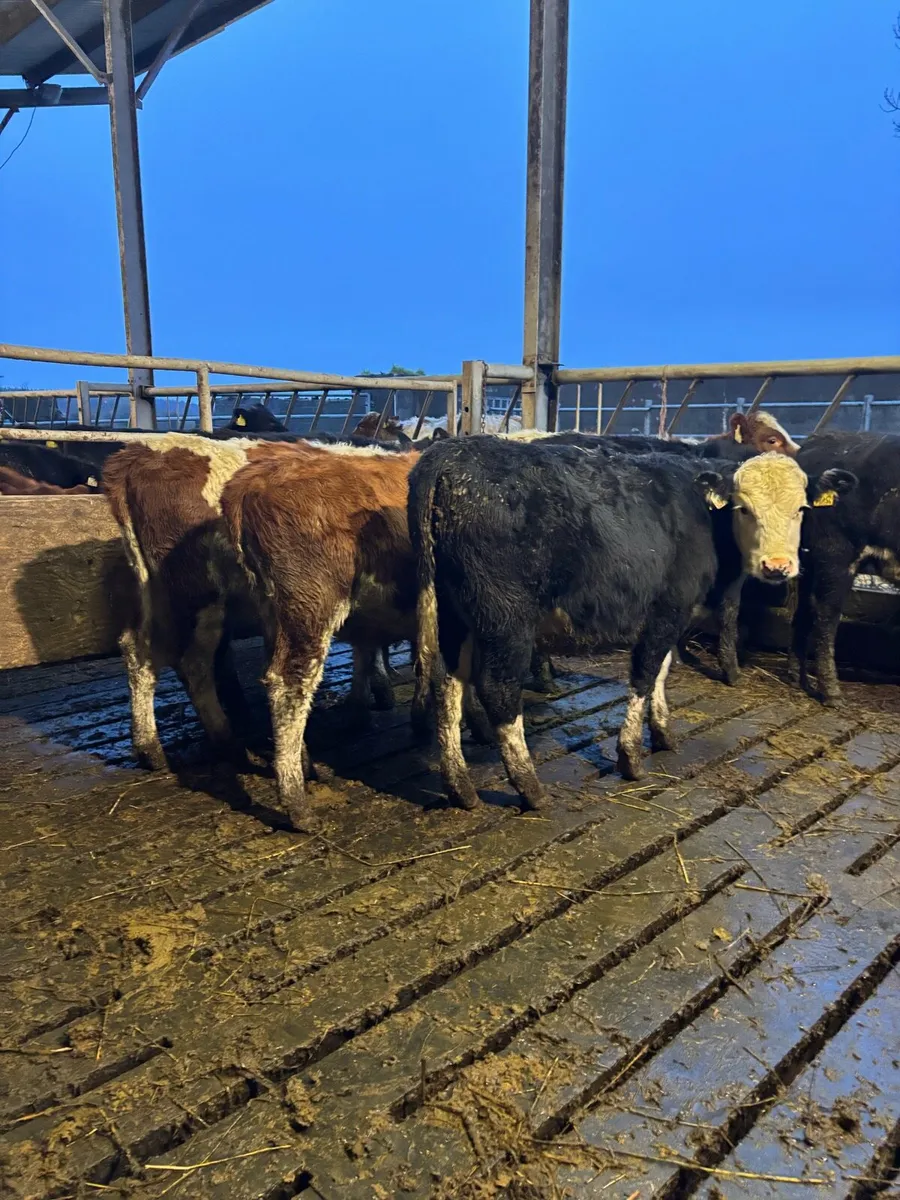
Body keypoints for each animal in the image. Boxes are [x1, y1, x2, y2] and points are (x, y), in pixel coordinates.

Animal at [409, 437, 854, 812]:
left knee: (446, 683)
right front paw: (631, 757)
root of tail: (451, 453)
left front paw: (662, 732)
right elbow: (644, 672)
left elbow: (662, 670)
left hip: (453, 614)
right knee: (498, 690)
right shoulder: (667, 608)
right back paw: (530, 788)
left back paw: (461, 787)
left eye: (801, 509)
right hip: (506, 618)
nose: (777, 566)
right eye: (743, 508)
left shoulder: (672, 615)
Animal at [791, 431, 893, 705]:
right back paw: (831, 692)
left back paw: (800, 677)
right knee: (827, 615)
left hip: (812, 559)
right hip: (837, 554)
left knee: (805, 609)